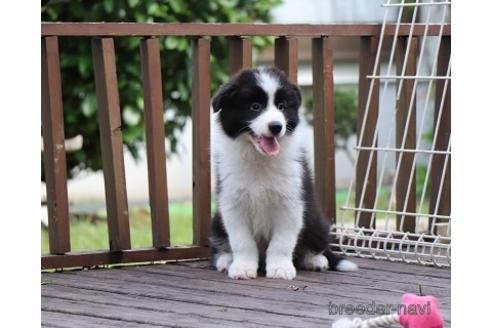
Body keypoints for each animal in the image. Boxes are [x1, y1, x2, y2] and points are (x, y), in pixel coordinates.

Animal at [209, 66, 356, 280]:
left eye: (282, 106)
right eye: (255, 107)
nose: (277, 126)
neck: (260, 158)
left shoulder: (291, 202)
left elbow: (282, 242)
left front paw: (280, 268)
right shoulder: (233, 203)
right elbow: (241, 241)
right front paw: (243, 267)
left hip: (316, 220)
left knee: (313, 245)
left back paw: (316, 260)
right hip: (217, 221)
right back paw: (226, 260)